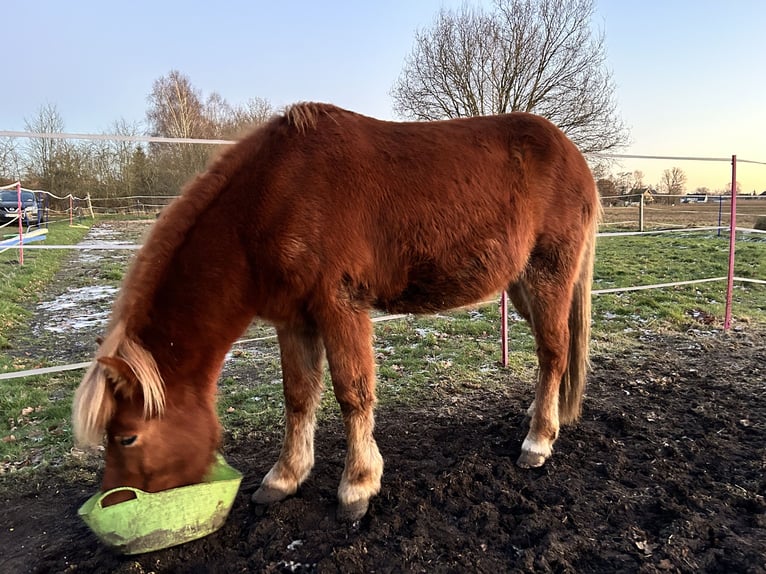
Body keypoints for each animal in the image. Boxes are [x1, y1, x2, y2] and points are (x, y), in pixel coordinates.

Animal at [72, 102, 600, 520]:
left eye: (127, 438)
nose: (115, 501)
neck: (272, 196)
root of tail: (575, 158)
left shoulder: (339, 307)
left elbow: (352, 393)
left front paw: (358, 485)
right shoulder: (293, 319)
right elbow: (298, 396)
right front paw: (285, 477)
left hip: (547, 276)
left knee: (554, 352)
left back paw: (538, 441)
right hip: (521, 286)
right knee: (553, 356)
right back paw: (543, 414)